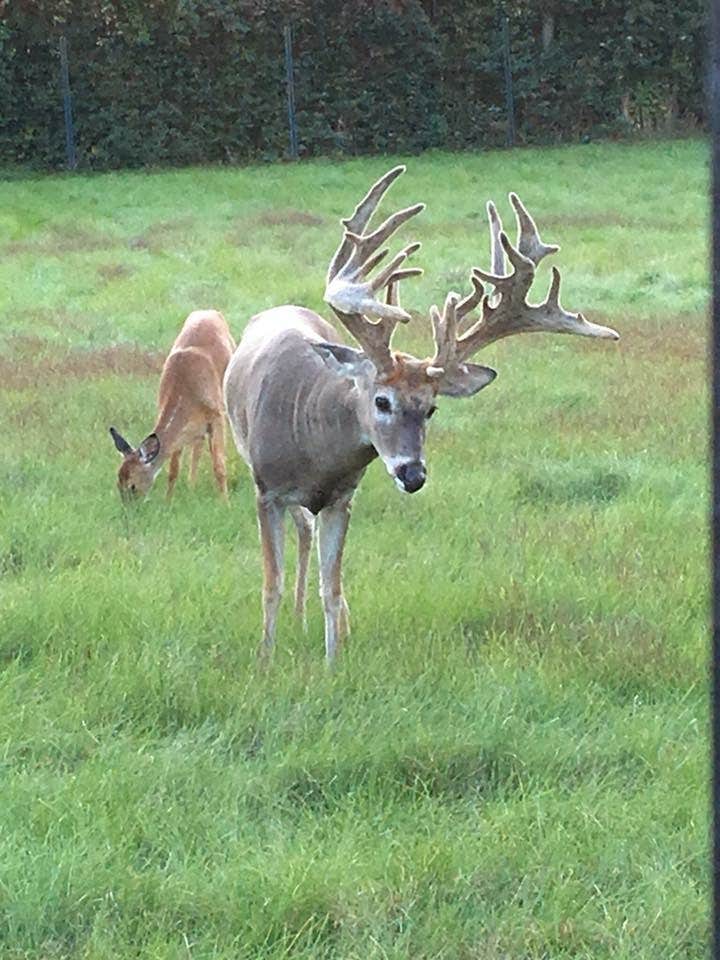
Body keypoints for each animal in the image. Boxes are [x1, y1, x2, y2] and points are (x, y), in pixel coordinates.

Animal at [109, 310, 235, 506]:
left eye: (133, 486)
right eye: (118, 482)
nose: (128, 509)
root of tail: (210, 311)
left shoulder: (216, 415)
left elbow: (219, 465)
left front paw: (225, 504)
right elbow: (173, 469)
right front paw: (168, 501)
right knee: (197, 447)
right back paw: (191, 486)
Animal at [225, 167, 620, 660]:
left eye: (431, 409)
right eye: (381, 401)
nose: (412, 475)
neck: (314, 449)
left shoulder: (342, 497)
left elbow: (332, 588)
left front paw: (334, 661)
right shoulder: (266, 491)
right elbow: (270, 584)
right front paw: (266, 660)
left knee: (308, 535)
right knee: (300, 532)